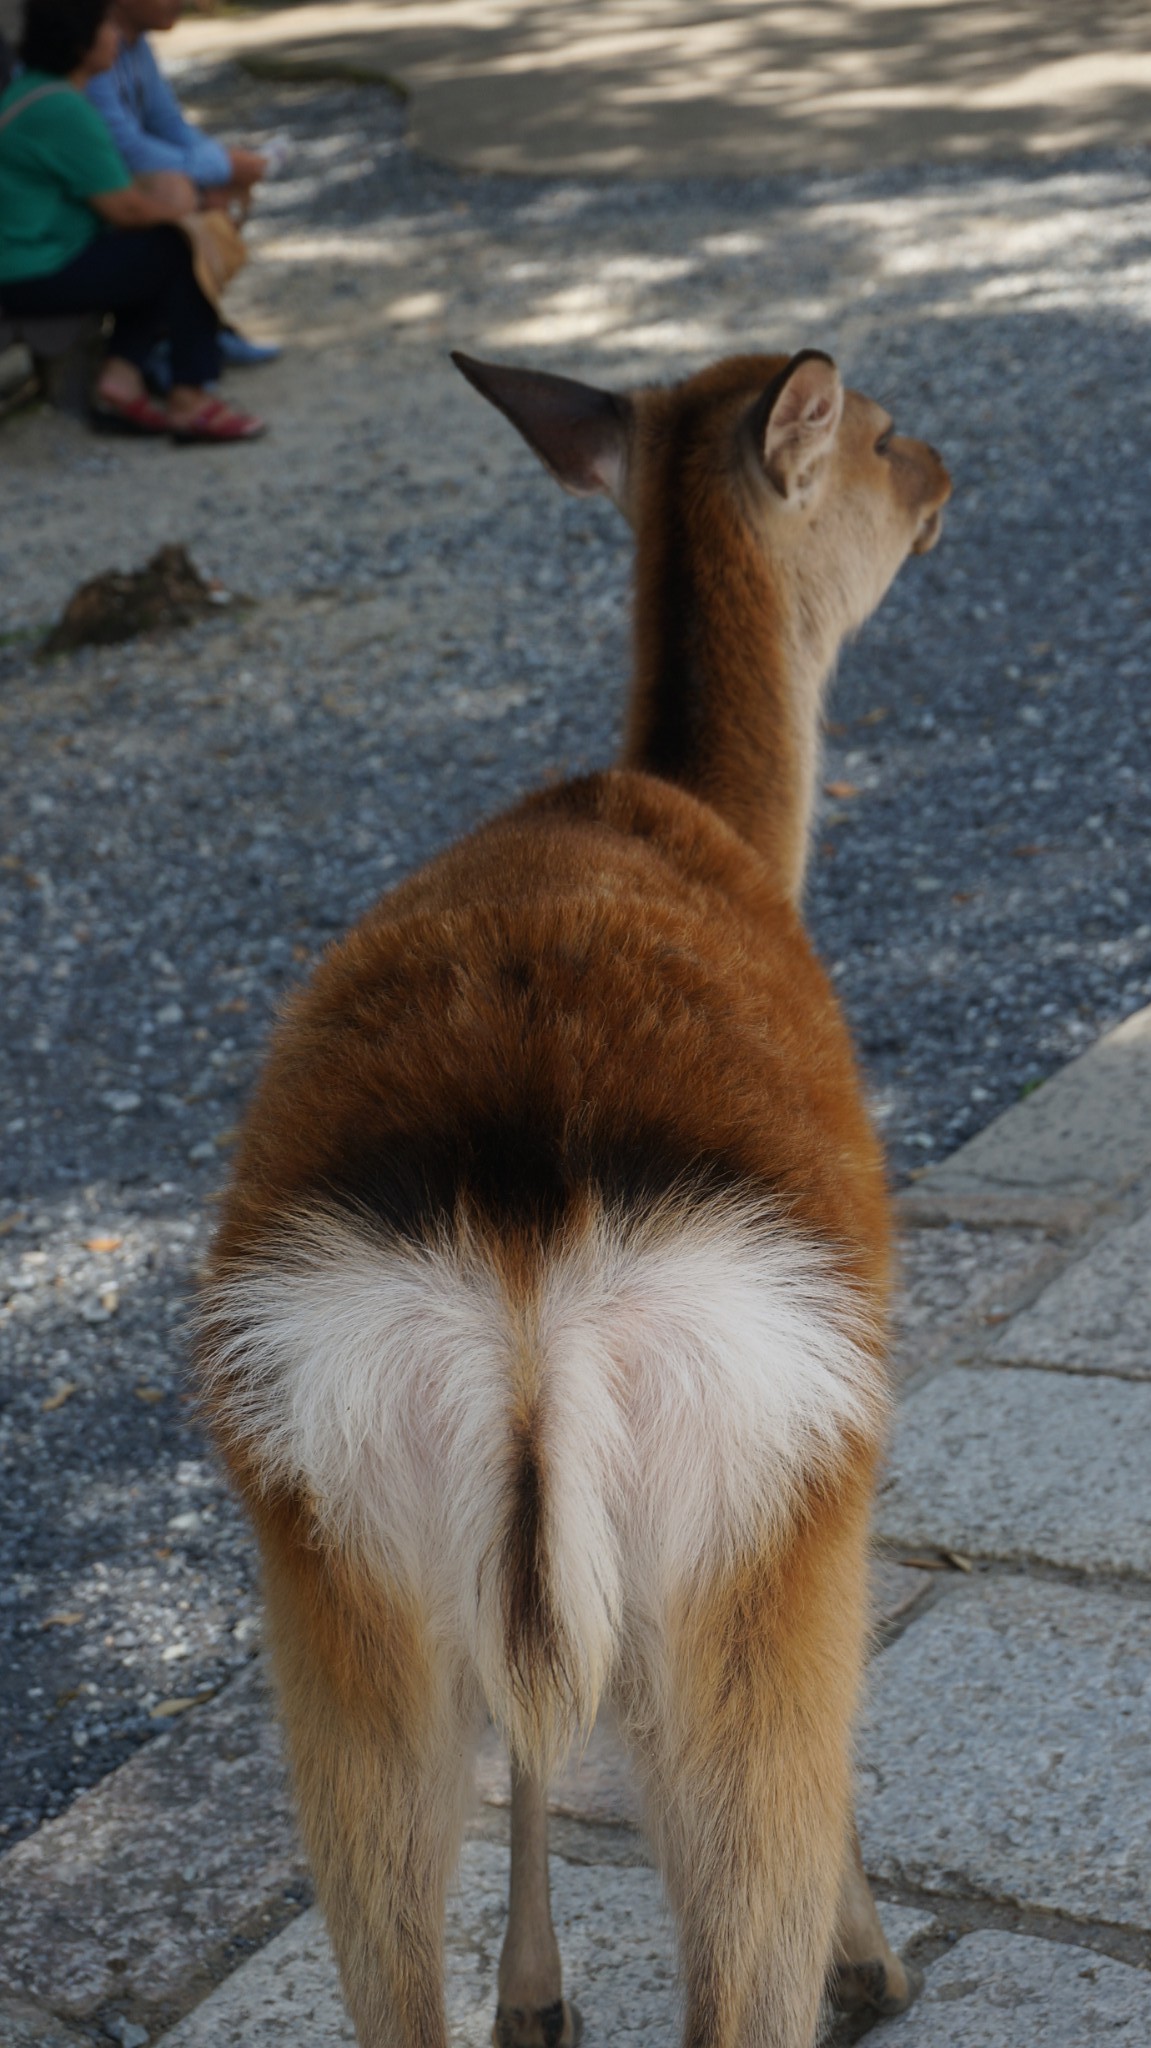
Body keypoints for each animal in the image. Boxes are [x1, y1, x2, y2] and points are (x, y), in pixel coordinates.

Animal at [199, 348, 950, 2048]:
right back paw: (849, 1971)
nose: (946, 472)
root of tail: (527, 1263)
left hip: (332, 1574)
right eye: (880, 437)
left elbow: (531, 1748)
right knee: (741, 1940)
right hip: (760, 1518)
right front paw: (866, 1957)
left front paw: (534, 2001)